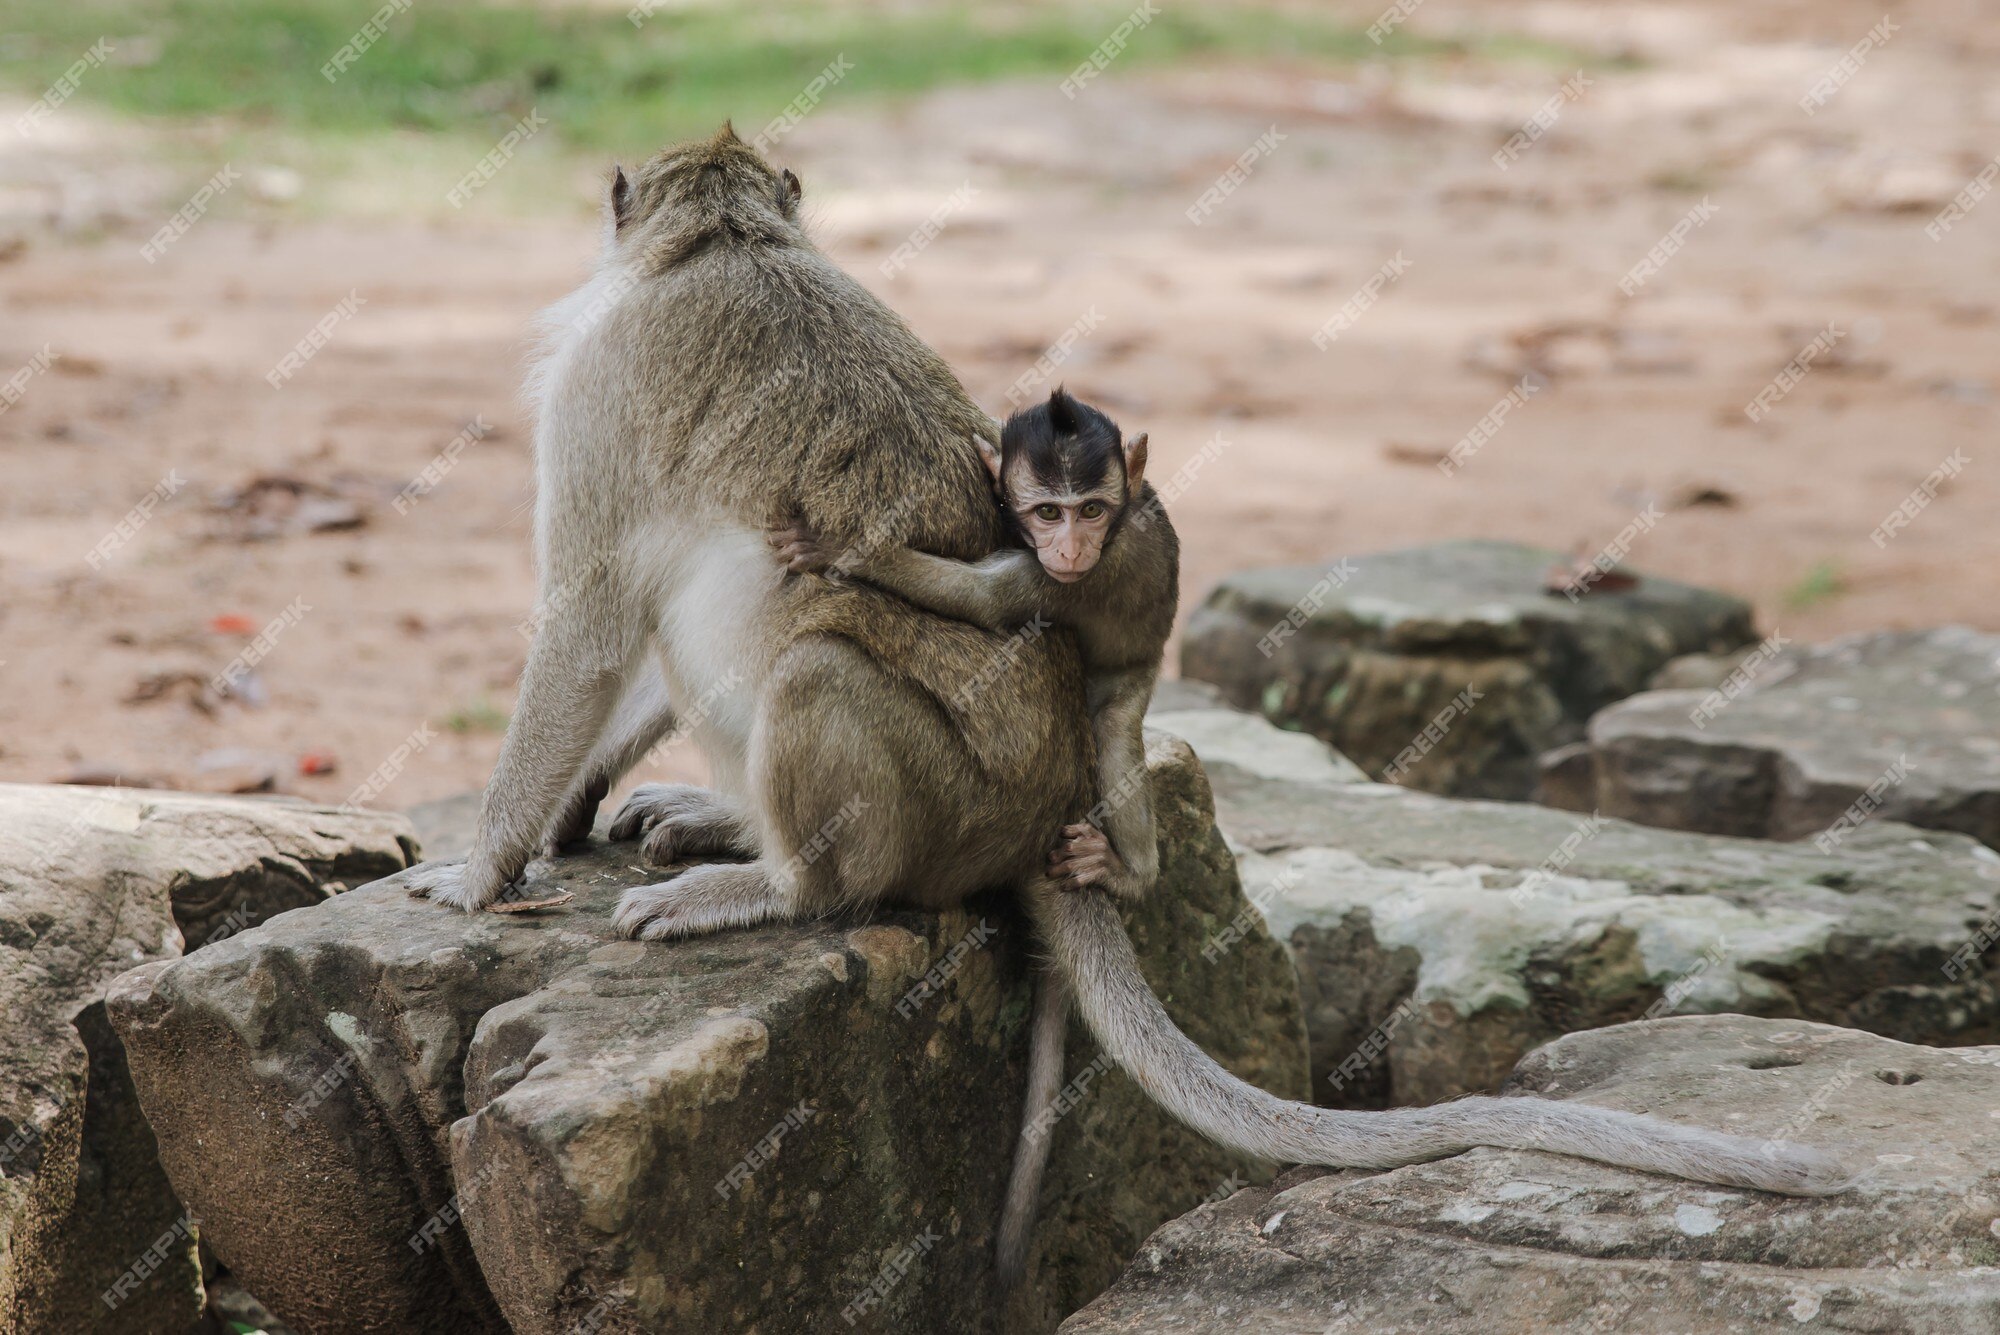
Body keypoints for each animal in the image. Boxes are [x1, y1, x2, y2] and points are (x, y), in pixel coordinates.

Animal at [764, 391, 1168, 903]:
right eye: (1049, 513)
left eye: (1091, 510)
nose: (1072, 550)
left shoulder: (1080, 577)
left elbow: (980, 597)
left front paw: (834, 546)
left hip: (1136, 666)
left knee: (1115, 725)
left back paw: (1131, 875)